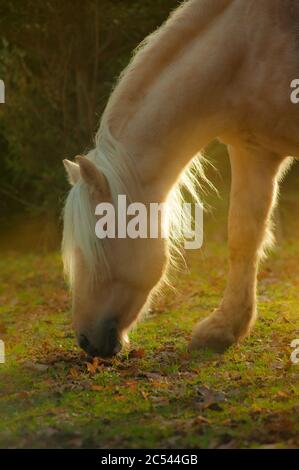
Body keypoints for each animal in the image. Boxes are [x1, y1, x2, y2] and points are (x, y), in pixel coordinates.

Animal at [62, 0, 299, 358]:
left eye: (98, 242)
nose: (86, 342)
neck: (246, 49)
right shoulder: (254, 150)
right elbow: (243, 235)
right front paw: (224, 329)